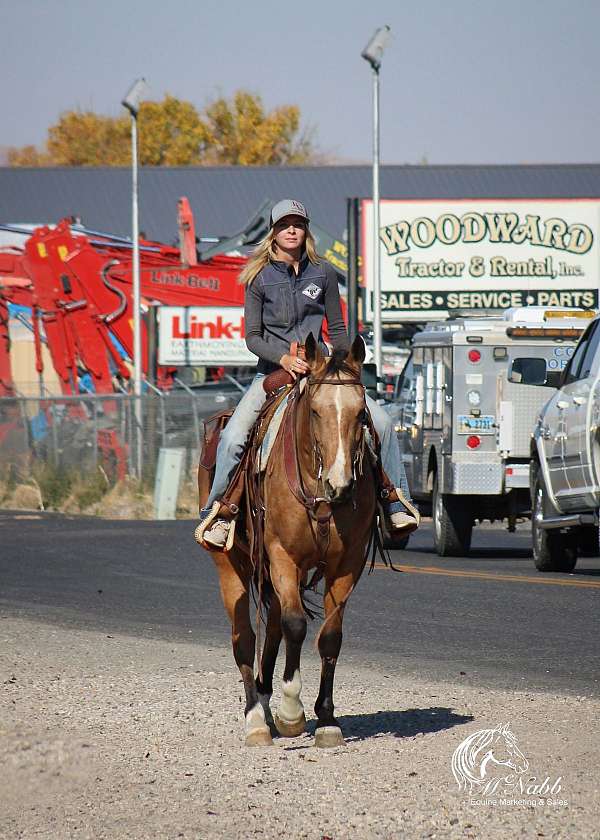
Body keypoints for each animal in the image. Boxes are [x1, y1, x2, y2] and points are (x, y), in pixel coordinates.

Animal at [200, 334, 380, 748]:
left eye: (361, 413)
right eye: (314, 412)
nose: (340, 485)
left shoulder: (347, 565)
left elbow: (330, 636)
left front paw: (327, 720)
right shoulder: (282, 556)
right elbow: (297, 625)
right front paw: (291, 713)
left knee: (273, 625)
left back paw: (266, 699)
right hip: (230, 564)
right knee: (245, 636)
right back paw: (256, 718)